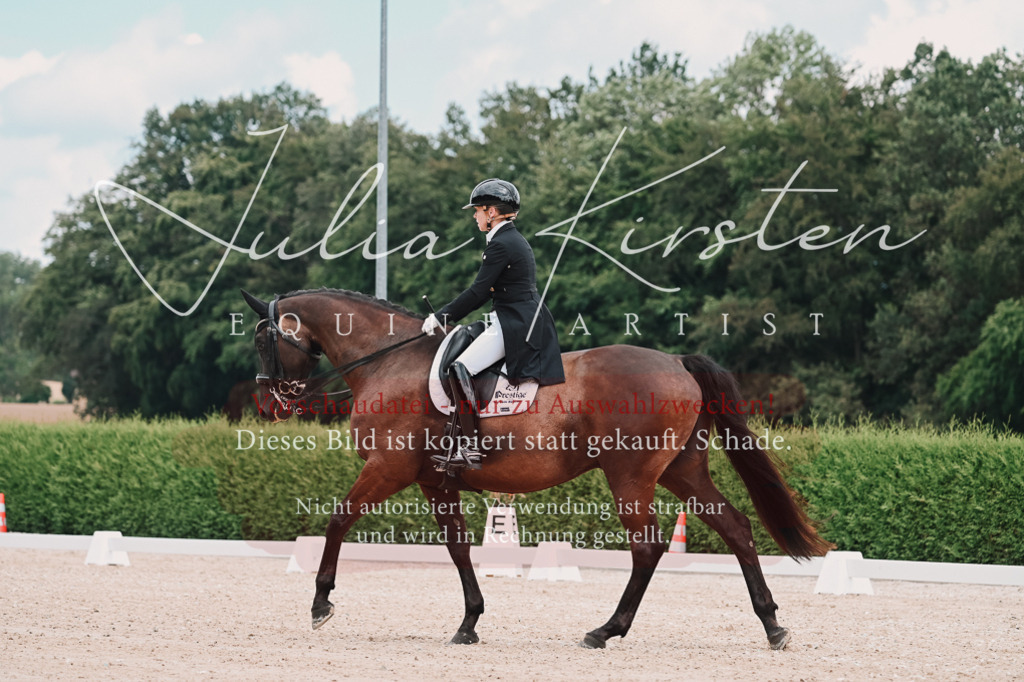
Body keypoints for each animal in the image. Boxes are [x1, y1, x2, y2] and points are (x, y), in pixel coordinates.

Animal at [241, 288, 832, 650]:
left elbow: (337, 520)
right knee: (736, 527)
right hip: (682, 472)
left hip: (632, 475)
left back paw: (605, 630)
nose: (269, 402)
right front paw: (469, 623)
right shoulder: (435, 480)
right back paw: (773, 625)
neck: (388, 359)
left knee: (647, 547)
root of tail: (677, 362)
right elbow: (458, 548)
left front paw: (321, 603)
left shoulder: (390, 469)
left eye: (263, 339)